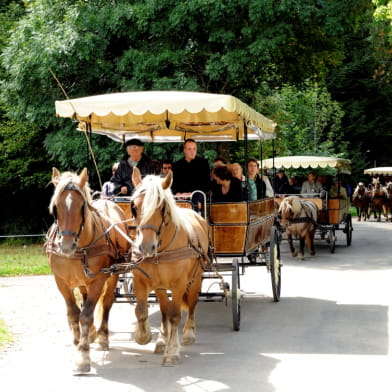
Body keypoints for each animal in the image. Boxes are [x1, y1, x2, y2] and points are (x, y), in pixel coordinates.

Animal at [44, 167, 129, 372]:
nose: (66, 245)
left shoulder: (98, 280)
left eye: (81, 205)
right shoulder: (61, 281)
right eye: (55, 206)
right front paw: (78, 341)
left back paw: (103, 337)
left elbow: (87, 315)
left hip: (113, 275)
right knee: (83, 298)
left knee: (106, 303)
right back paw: (90, 334)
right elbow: (74, 313)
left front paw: (82, 356)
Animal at [129, 167, 210, 366]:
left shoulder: (179, 284)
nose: (146, 247)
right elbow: (142, 310)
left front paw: (172, 351)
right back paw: (161, 340)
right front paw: (145, 336)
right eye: (134, 206)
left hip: (195, 280)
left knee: (192, 304)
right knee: (165, 310)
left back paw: (188, 333)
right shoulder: (143, 281)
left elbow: (174, 315)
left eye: (162, 207)